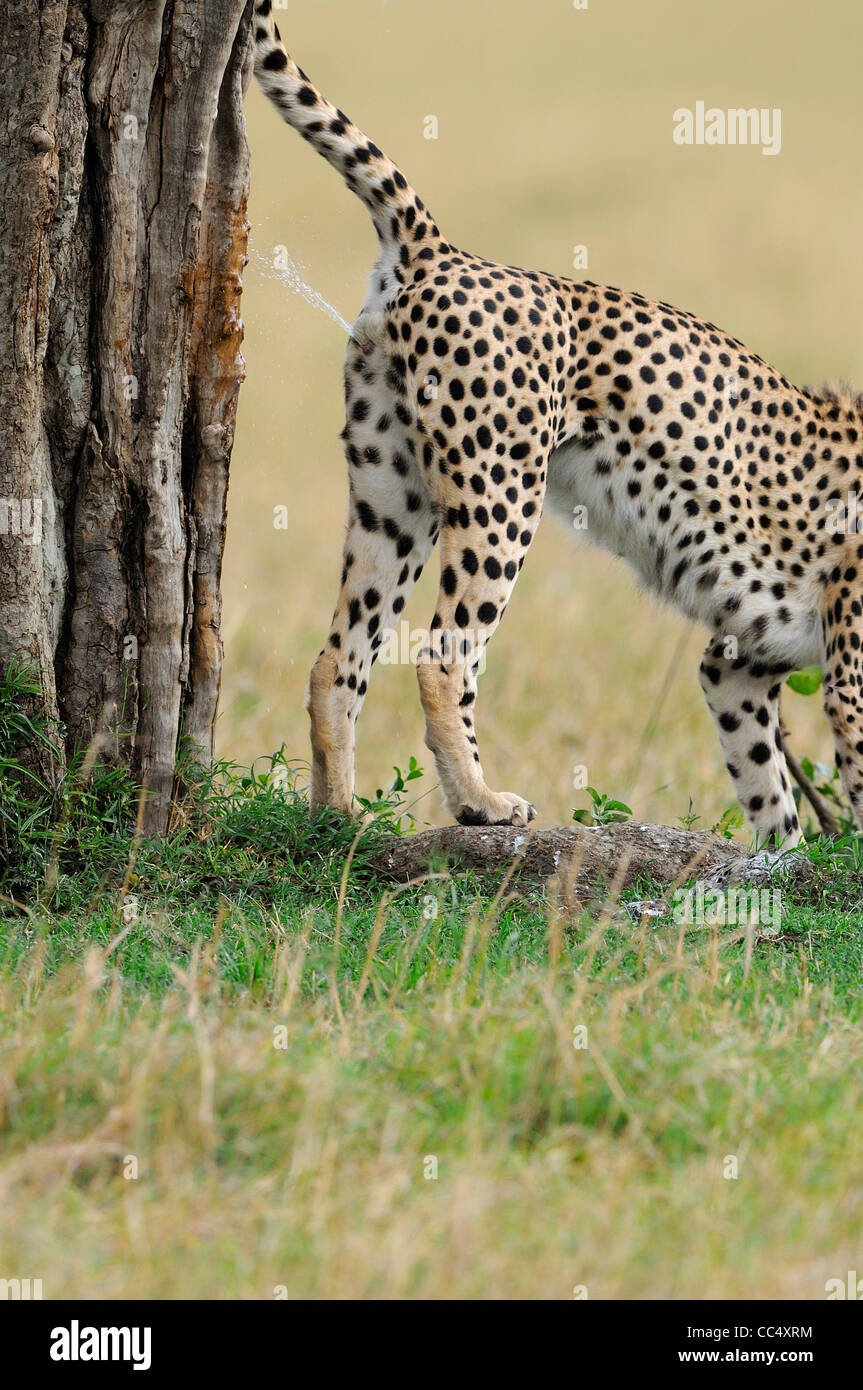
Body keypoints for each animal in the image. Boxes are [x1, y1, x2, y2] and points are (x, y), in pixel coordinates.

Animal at [252, 5, 861, 845]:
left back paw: (336, 820)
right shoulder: (842, 678)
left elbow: (769, 793)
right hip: (498, 491)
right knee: (442, 660)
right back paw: (480, 802)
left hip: (391, 496)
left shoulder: (736, 661)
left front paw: (779, 861)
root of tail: (443, 252)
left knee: (337, 656)